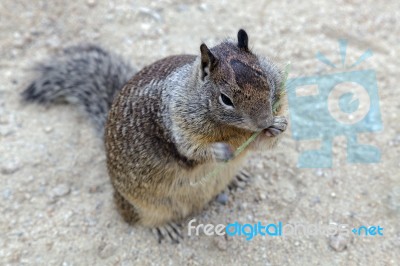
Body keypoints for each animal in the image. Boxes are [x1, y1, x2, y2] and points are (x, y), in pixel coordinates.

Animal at [22, 29, 288, 243]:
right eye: (226, 99)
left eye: (266, 79)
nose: (264, 121)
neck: (234, 130)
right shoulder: (177, 128)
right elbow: (192, 152)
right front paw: (220, 150)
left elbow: (259, 144)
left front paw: (278, 125)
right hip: (141, 206)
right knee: (140, 219)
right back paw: (164, 228)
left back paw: (236, 177)